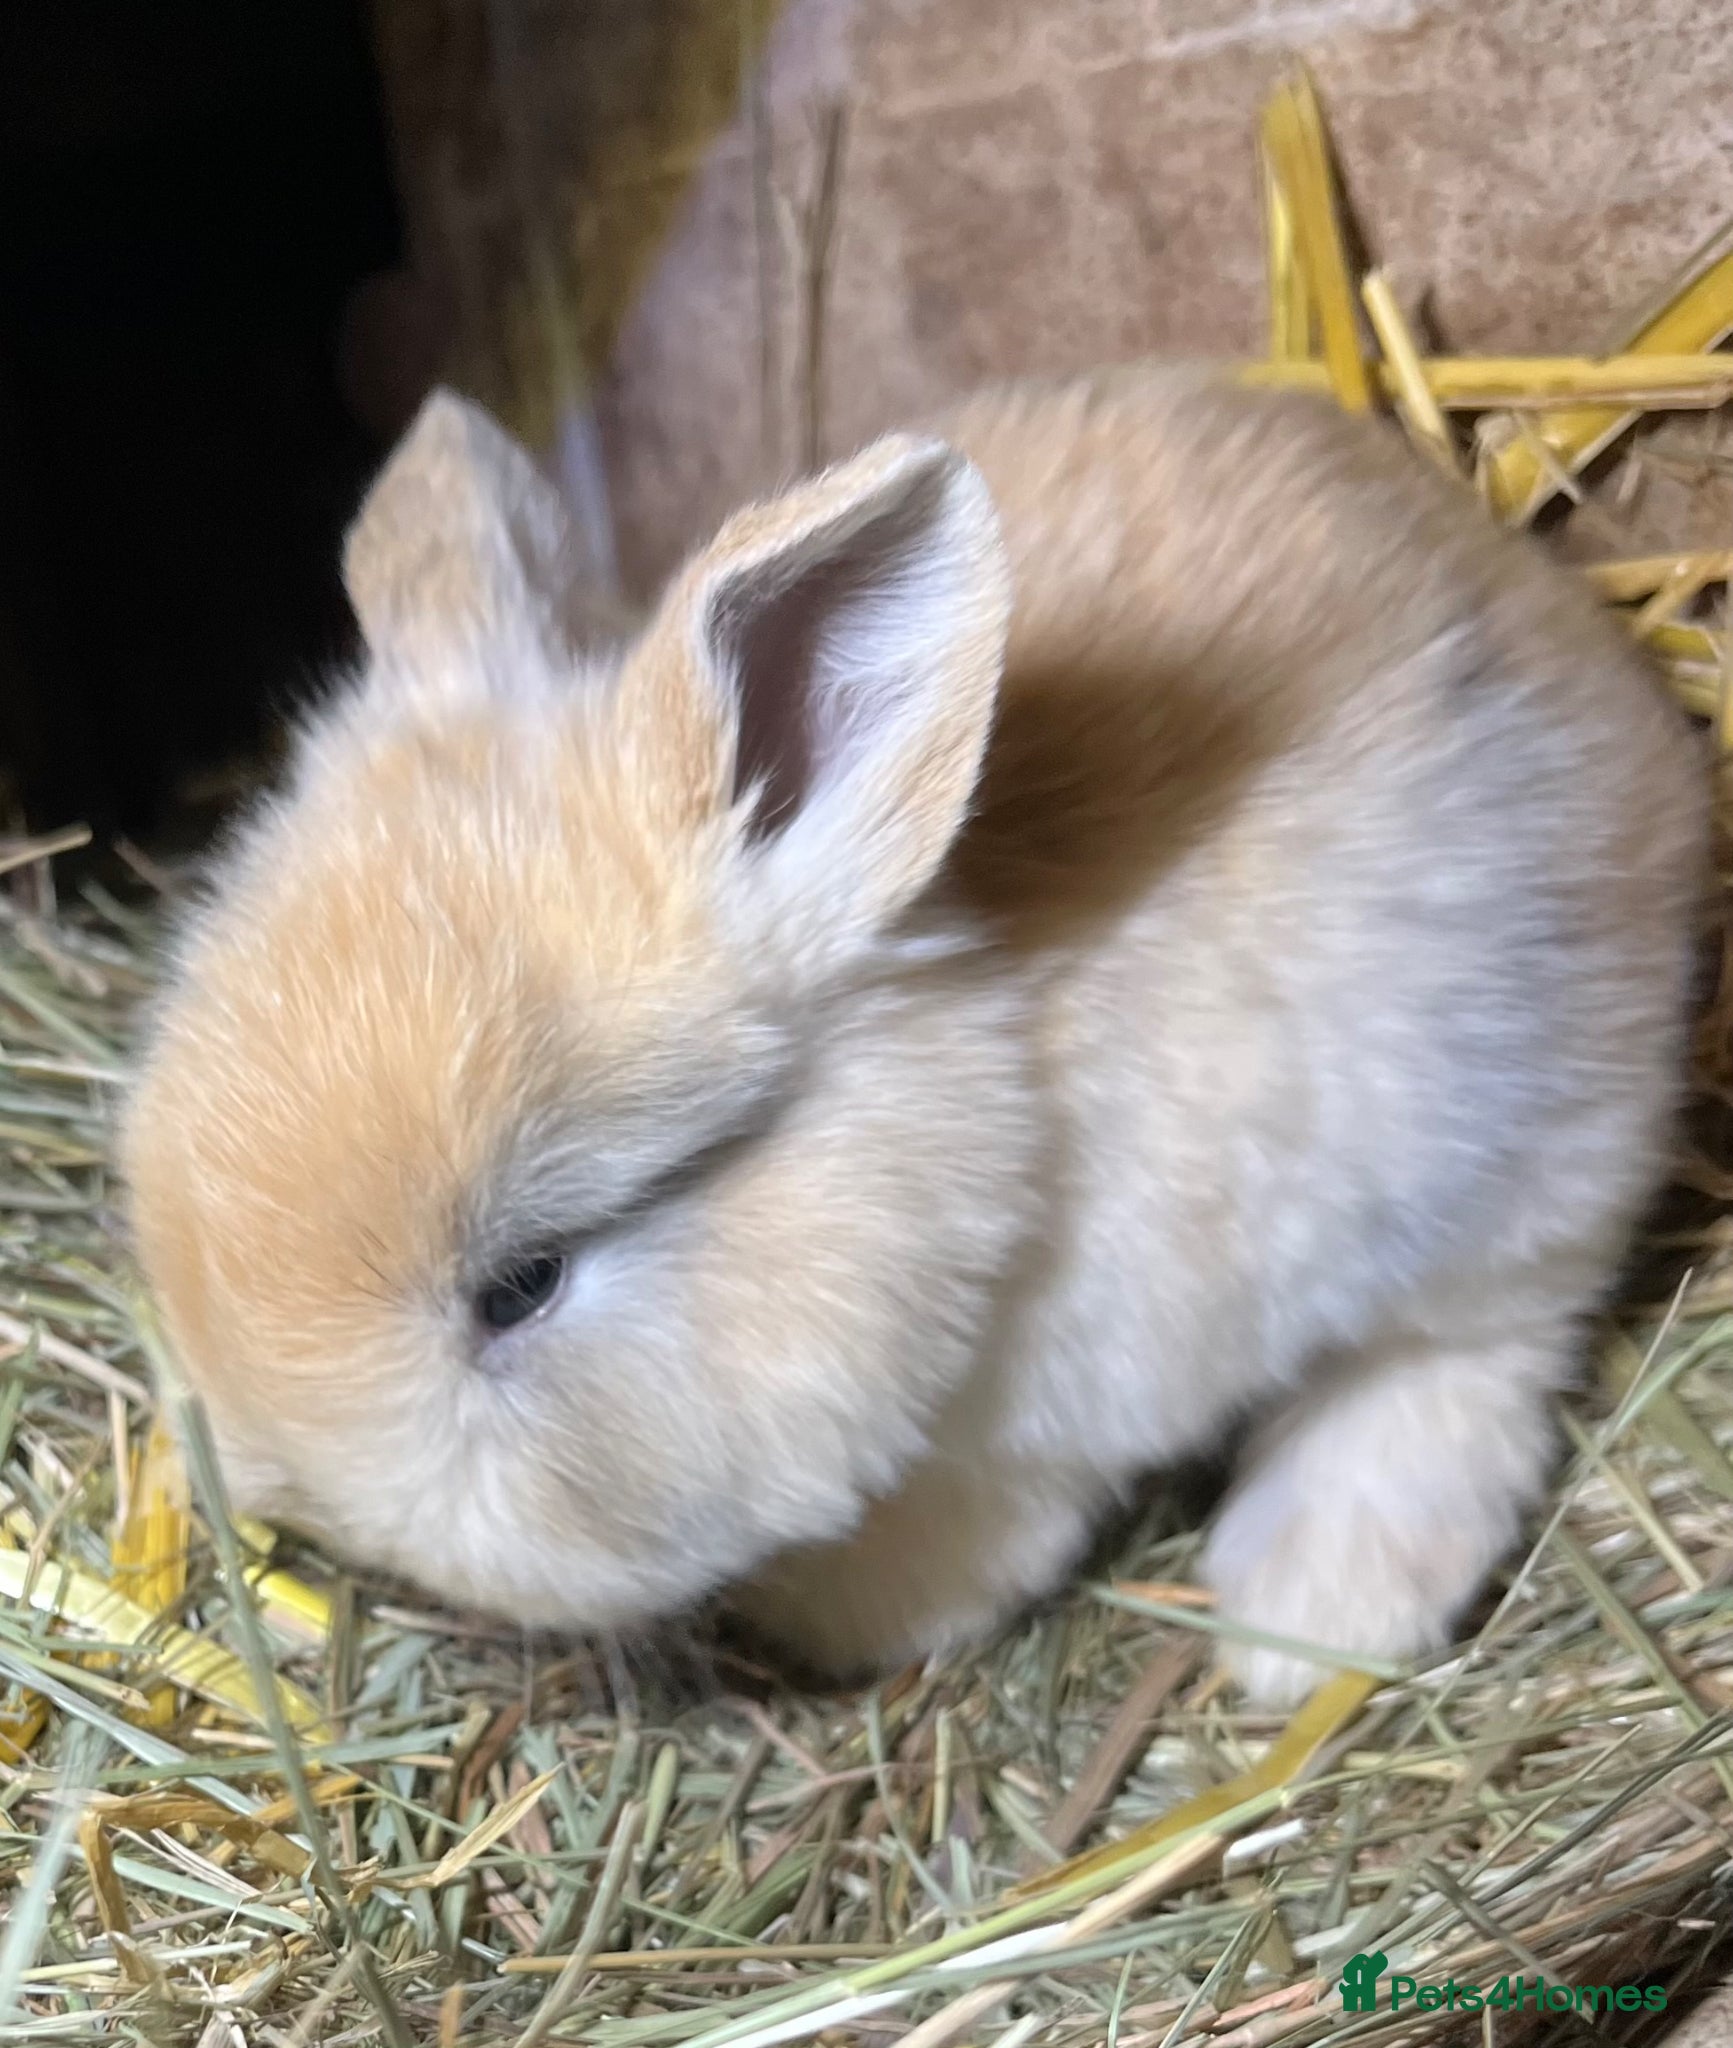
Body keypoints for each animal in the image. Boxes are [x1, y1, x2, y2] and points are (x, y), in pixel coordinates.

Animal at [121, 368, 1706, 1705]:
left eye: (522, 1282)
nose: (294, 1492)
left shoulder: (1036, 1432)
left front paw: (825, 1623)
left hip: (1513, 1168)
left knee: (1478, 1352)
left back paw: (1303, 1618)